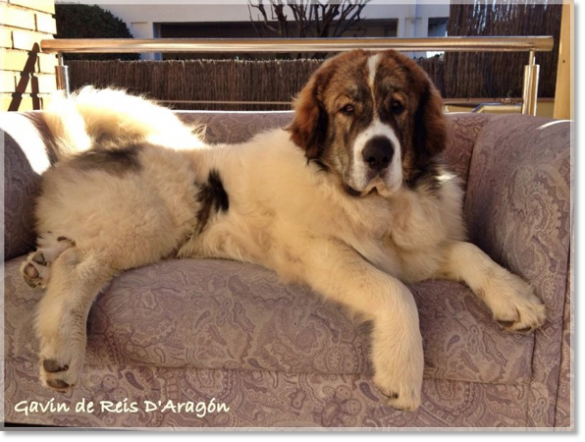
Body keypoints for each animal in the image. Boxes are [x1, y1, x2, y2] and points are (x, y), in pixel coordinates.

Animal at [20, 50, 544, 412]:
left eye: (397, 106)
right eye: (347, 109)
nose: (378, 154)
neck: (375, 206)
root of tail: (83, 152)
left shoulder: (416, 247)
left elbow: (468, 251)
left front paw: (515, 296)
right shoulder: (324, 253)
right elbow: (397, 292)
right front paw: (402, 370)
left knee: (67, 248)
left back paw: (37, 268)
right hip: (156, 219)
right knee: (81, 265)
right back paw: (63, 349)